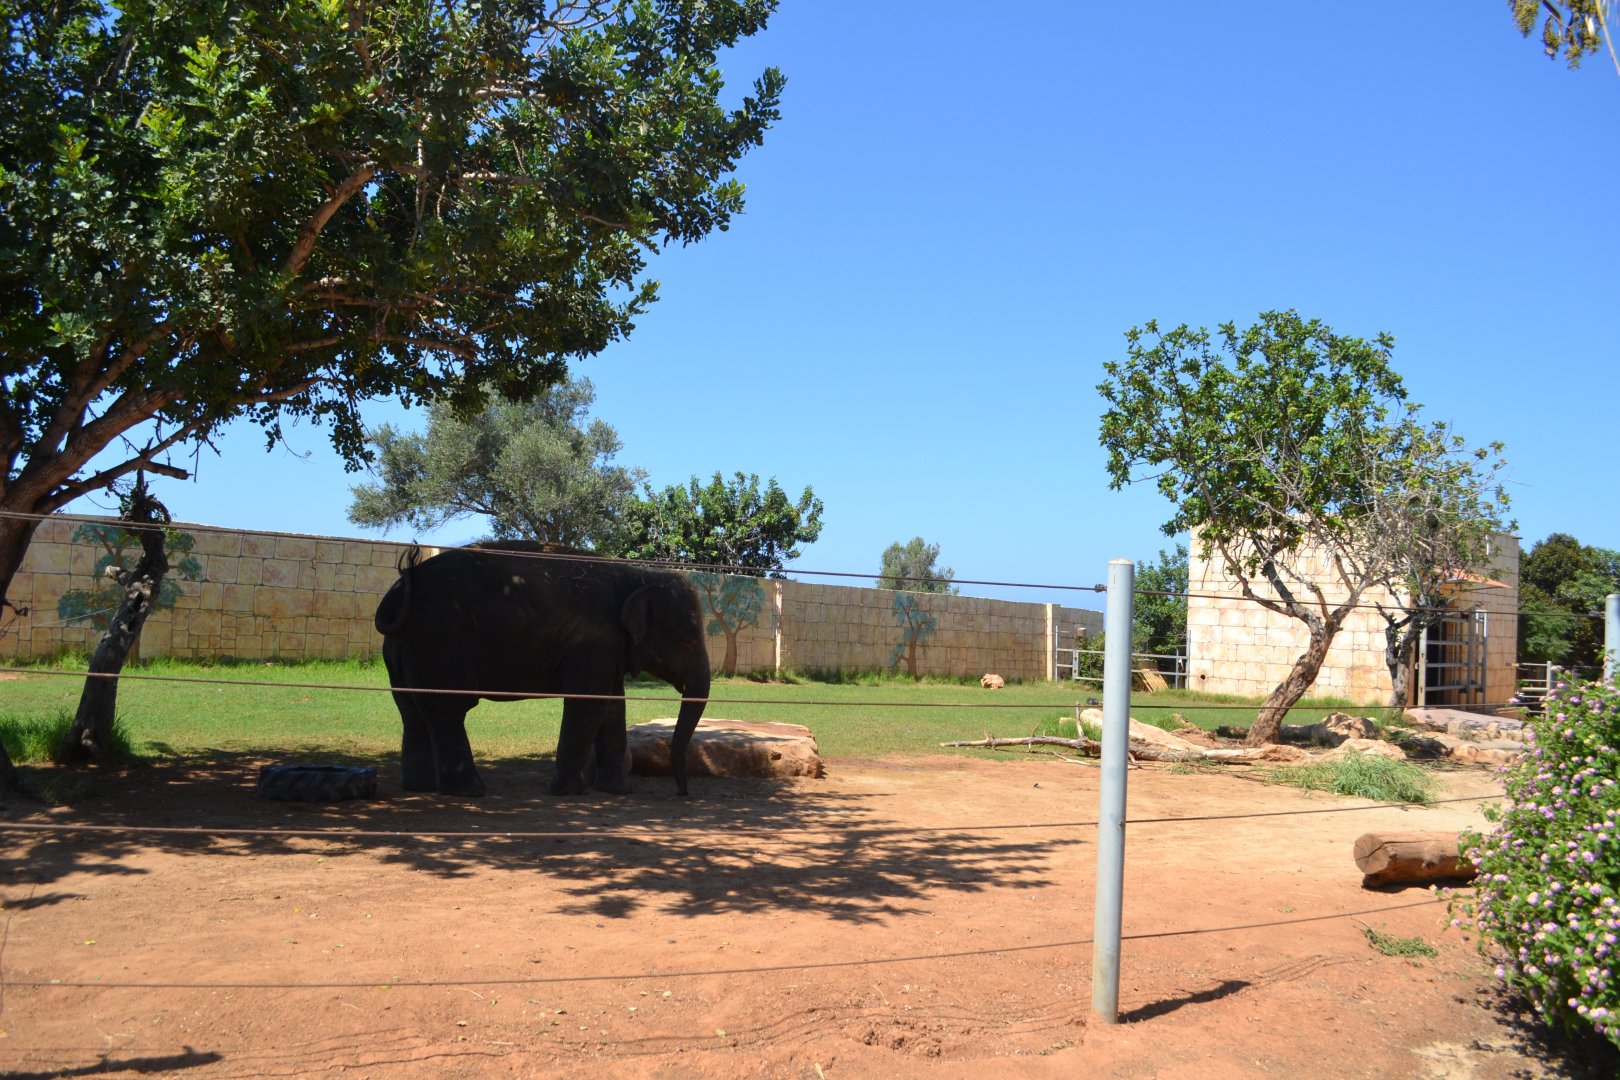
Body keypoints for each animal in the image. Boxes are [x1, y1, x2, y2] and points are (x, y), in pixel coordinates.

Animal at [373, 542, 711, 797]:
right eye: (689, 640)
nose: (682, 792)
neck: (637, 575)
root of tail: (399, 593)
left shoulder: (608, 649)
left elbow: (614, 706)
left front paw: (617, 791)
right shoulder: (594, 643)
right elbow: (589, 705)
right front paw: (571, 792)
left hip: (401, 652)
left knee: (412, 713)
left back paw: (421, 787)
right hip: (436, 646)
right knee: (447, 712)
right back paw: (471, 792)